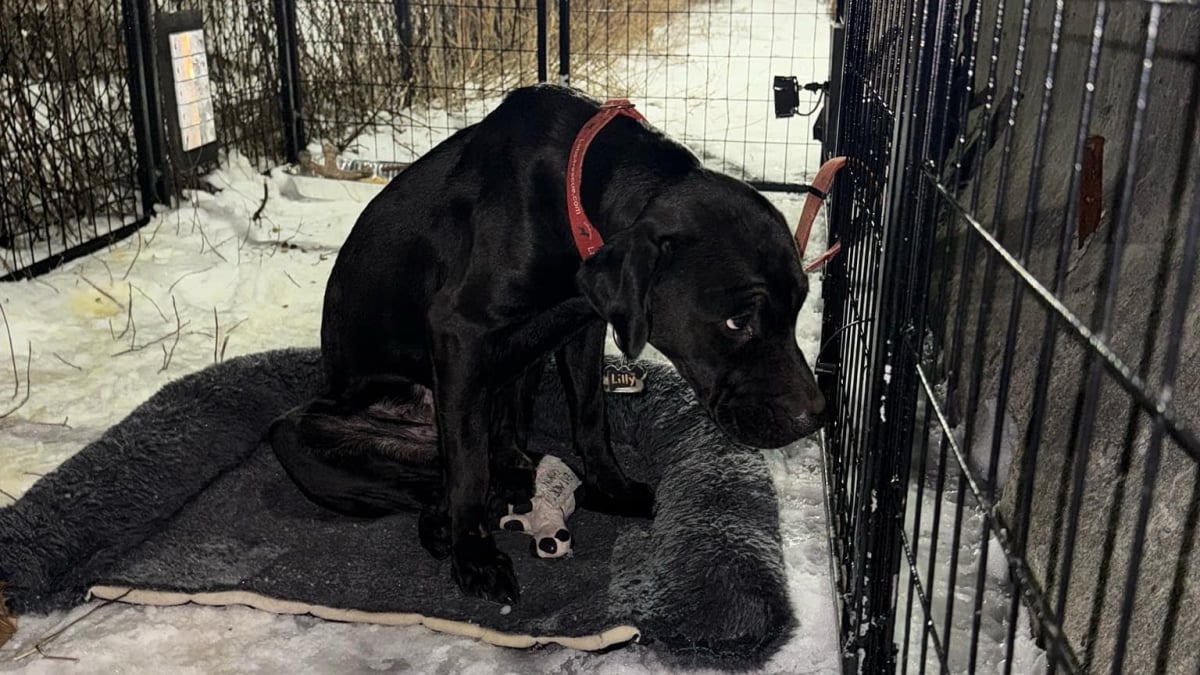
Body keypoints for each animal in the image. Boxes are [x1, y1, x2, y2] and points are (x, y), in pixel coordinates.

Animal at [270, 81, 825, 600]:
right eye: (737, 322)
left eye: (800, 303)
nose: (817, 417)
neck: (575, 190)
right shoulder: (459, 331)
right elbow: (467, 468)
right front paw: (475, 557)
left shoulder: (583, 322)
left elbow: (591, 416)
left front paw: (611, 489)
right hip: (298, 437)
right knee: (437, 481)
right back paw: (452, 523)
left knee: (492, 451)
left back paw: (513, 476)